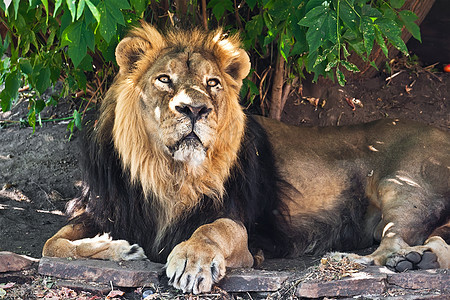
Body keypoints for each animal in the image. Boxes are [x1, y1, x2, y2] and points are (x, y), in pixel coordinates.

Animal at [42, 22, 450, 292]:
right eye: (164, 80)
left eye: (212, 83)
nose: (195, 110)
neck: (167, 174)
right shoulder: (105, 210)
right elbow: (53, 244)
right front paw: (119, 250)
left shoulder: (237, 221)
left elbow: (213, 230)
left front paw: (192, 261)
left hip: (402, 189)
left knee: (393, 245)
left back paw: (362, 261)